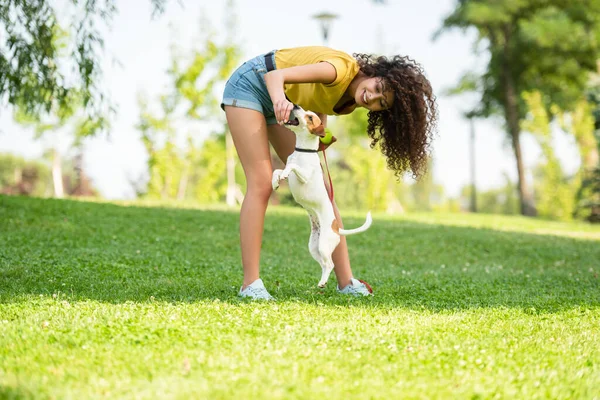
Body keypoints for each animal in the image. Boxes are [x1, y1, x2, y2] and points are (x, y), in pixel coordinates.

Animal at [272, 106, 370, 288]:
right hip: (314, 247)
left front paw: (285, 173)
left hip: (324, 245)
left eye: (310, 117)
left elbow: (292, 167)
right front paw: (275, 182)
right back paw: (321, 282)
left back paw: (323, 282)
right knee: (324, 265)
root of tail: (336, 228)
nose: (295, 105)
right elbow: (277, 170)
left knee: (330, 264)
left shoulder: (304, 175)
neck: (302, 151)